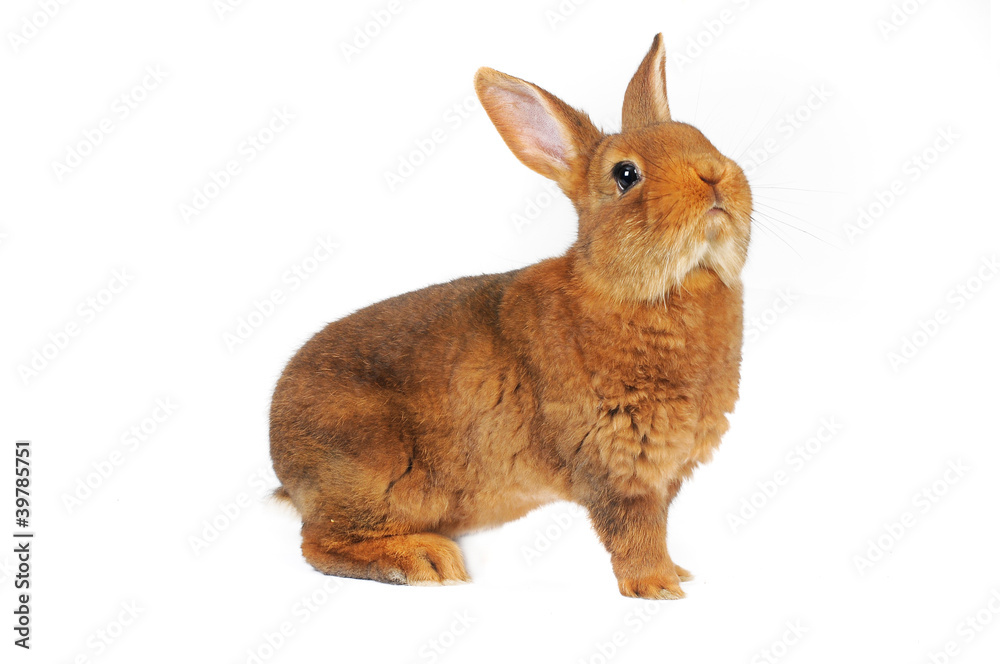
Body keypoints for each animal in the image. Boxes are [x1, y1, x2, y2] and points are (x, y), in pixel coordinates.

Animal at [269, 33, 752, 599]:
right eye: (626, 175)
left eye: (700, 137)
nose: (713, 173)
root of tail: (279, 452)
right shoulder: (615, 466)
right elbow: (634, 531)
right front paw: (658, 587)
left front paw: (678, 573)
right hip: (377, 478)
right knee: (318, 544)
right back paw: (425, 561)